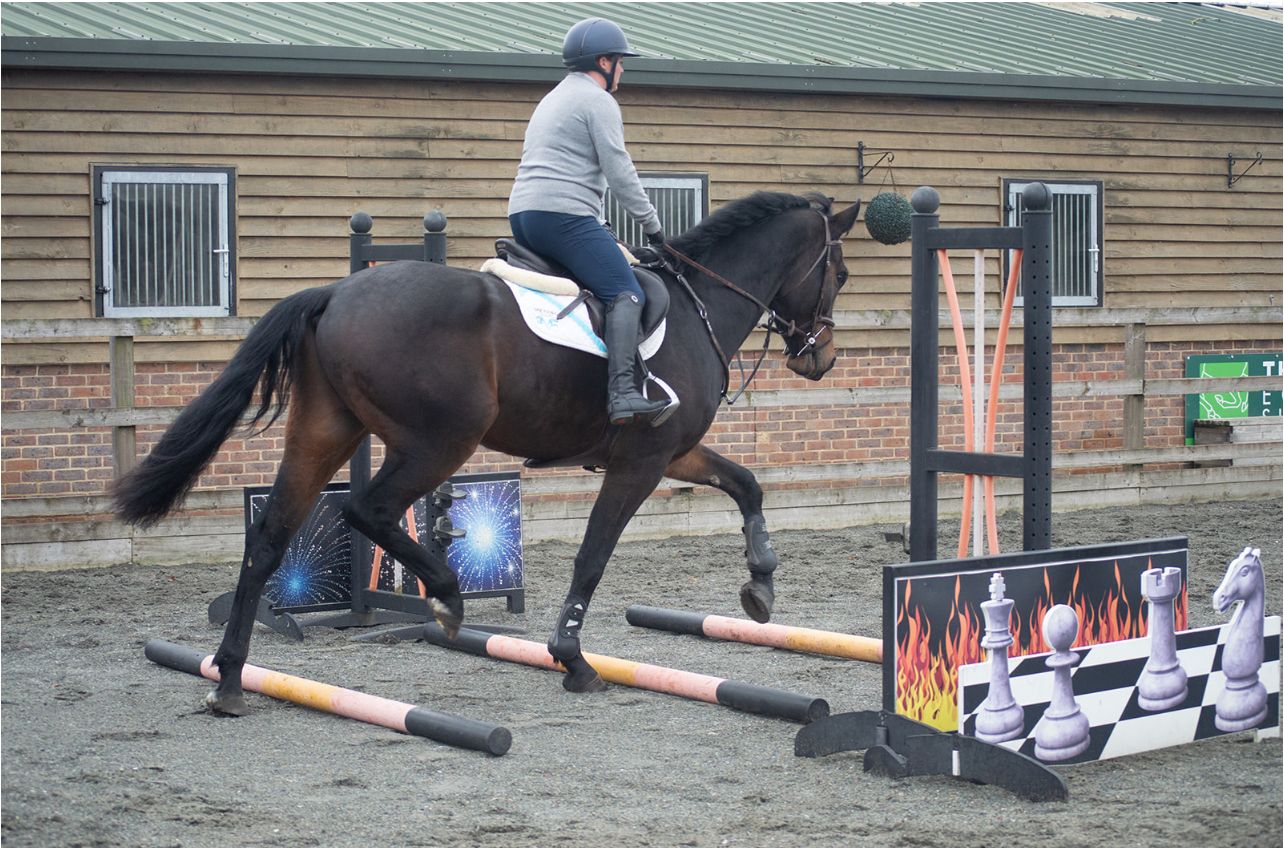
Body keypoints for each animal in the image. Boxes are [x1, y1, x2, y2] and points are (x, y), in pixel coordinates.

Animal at [113, 190, 862, 712]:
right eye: (842, 272)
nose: (821, 358)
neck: (697, 302)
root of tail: (336, 292)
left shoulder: (675, 453)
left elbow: (747, 484)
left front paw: (761, 586)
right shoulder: (641, 463)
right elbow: (593, 555)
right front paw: (572, 660)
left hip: (326, 432)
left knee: (269, 538)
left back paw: (230, 678)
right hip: (439, 441)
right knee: (367, 510)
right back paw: (446, 596)